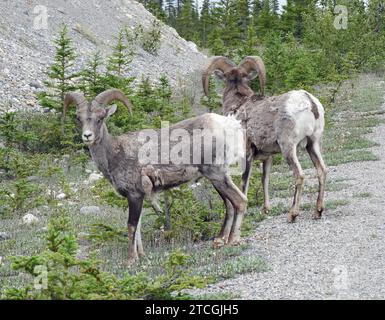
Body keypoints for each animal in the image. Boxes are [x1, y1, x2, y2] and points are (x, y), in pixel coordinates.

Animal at [61, 89, 244, 262]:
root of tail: (228, 125)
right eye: (78, 118)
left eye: (100, 118)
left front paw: (131, 259)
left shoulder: (134, 195)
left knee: (240, 201)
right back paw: (220, 240)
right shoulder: (141, 197)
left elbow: (131, 226)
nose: (87, 136)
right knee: (229, 205)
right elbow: (139, 226)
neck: (115, 153)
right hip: (217, 178)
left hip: (217, 175)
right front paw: (141, 255)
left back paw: (232, 241)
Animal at [202, 57, 326, 222]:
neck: (237, 106)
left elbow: (244, 181)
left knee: (299, 175)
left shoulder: (247, 154)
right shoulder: (267, 158)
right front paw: (266, 209)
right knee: (322, 171)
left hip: (288, 148)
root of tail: (309, 102)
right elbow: (265, 180)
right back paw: (318, 211)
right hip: (313, 144)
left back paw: (292, 214)